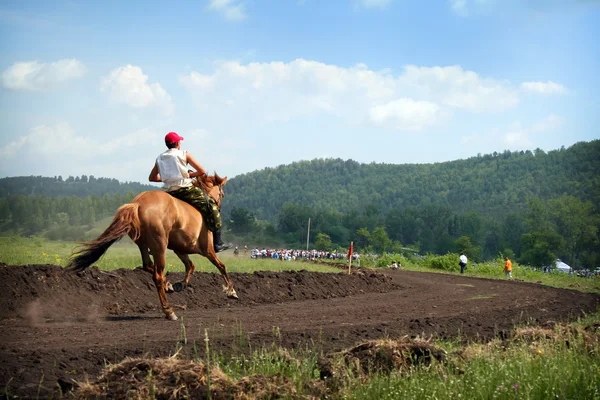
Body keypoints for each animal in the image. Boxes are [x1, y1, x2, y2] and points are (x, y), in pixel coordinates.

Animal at [69, 173, 238, 320]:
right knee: (157, 274)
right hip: (160, 247)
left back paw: (168, 285)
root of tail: (138, 203)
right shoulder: (207, 250)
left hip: (144, 245)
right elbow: (221, 266)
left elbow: (190, 265)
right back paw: (169, 311)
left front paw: (179, 284)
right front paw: (231, 291)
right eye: (222, 194)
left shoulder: (179, 249)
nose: (219, 205)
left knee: (148, 266)